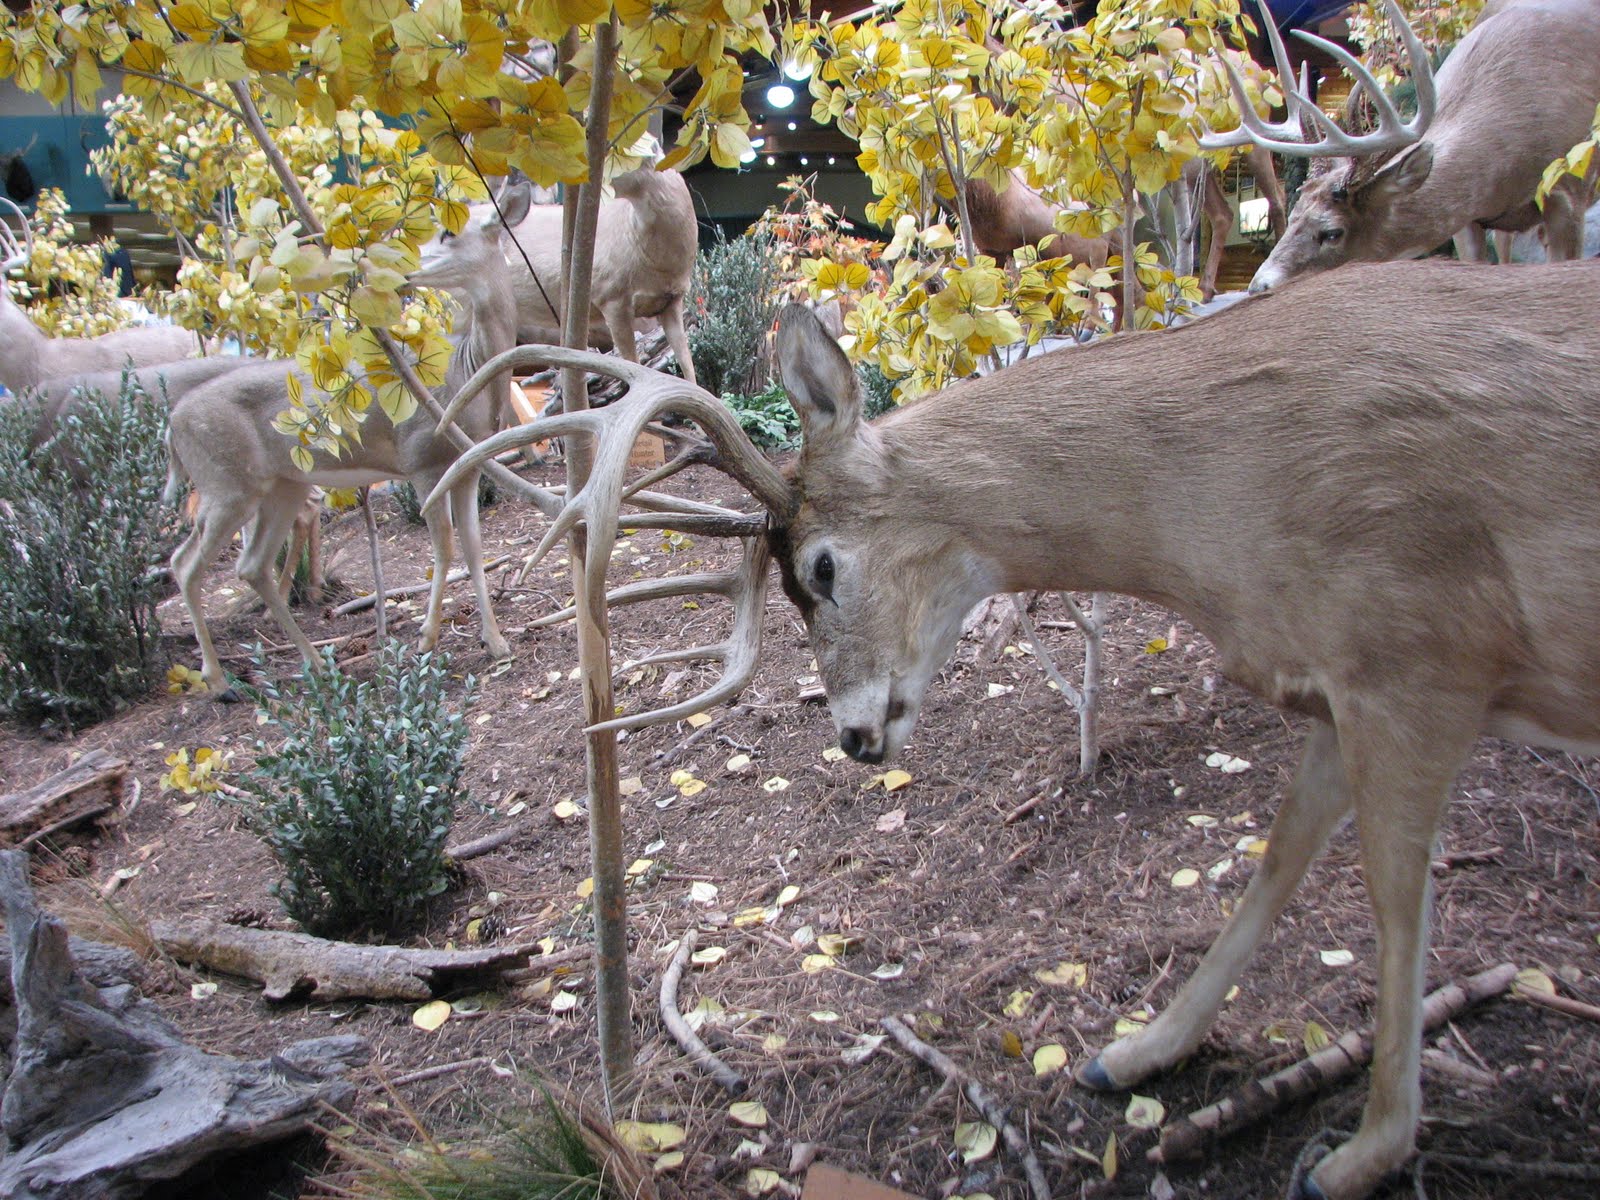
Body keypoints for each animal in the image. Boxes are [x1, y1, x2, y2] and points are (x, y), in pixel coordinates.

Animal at [163, 183, 533, 696]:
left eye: (448, 231)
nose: (399, 270)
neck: (465, 374)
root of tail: (172, 424)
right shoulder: (420, 460)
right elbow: (445, 548)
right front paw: (426, 637)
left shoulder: (468, 466)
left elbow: (476, 549)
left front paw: (496, 641)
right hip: (226, 483)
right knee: (186, 564)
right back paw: (218, 680)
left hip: (281, 484)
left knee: (249, 565)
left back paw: (314, 664)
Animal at [425, 248, 1600, 1199]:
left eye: (821, 567)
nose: (853, 737)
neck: (1229, 509)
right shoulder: (1336, 678)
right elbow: (1278, 857)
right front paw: (1140, 1049)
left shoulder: (1423, 653)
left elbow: (1398, 903)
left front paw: (1365, 1153)